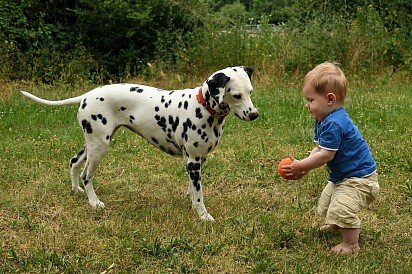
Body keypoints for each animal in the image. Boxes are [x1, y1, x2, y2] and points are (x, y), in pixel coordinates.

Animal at [21, 67, 258, 222]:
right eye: (236, 95)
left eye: (250, 92)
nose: (254, 114)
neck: (202, 107)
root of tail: (88, 95)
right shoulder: (193, 161)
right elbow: (199, 195)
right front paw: (203, 215)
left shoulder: (197, 160)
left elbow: (192, 189)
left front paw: (192, 203)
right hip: (99, 147)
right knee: (86, 174)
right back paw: (94, 202)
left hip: (92, 144)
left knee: (73, 162)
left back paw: (76, 190)